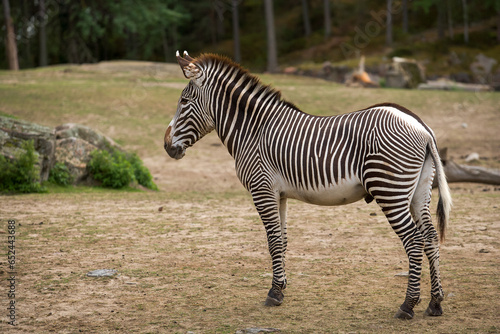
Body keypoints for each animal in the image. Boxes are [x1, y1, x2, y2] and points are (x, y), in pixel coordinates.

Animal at [162, 51, 452, 320]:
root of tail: (422, 128)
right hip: (419, 191)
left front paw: (274, 293)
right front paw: (280, 288)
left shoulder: (261, 189)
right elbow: (282, 240)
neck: (253, 131)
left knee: (413, 241)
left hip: (390, 190)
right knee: (430, 238)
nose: (166, 146)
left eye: (184, 101)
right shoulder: (278, 194)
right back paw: (435, 303)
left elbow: (272, 241)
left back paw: (408, 305)